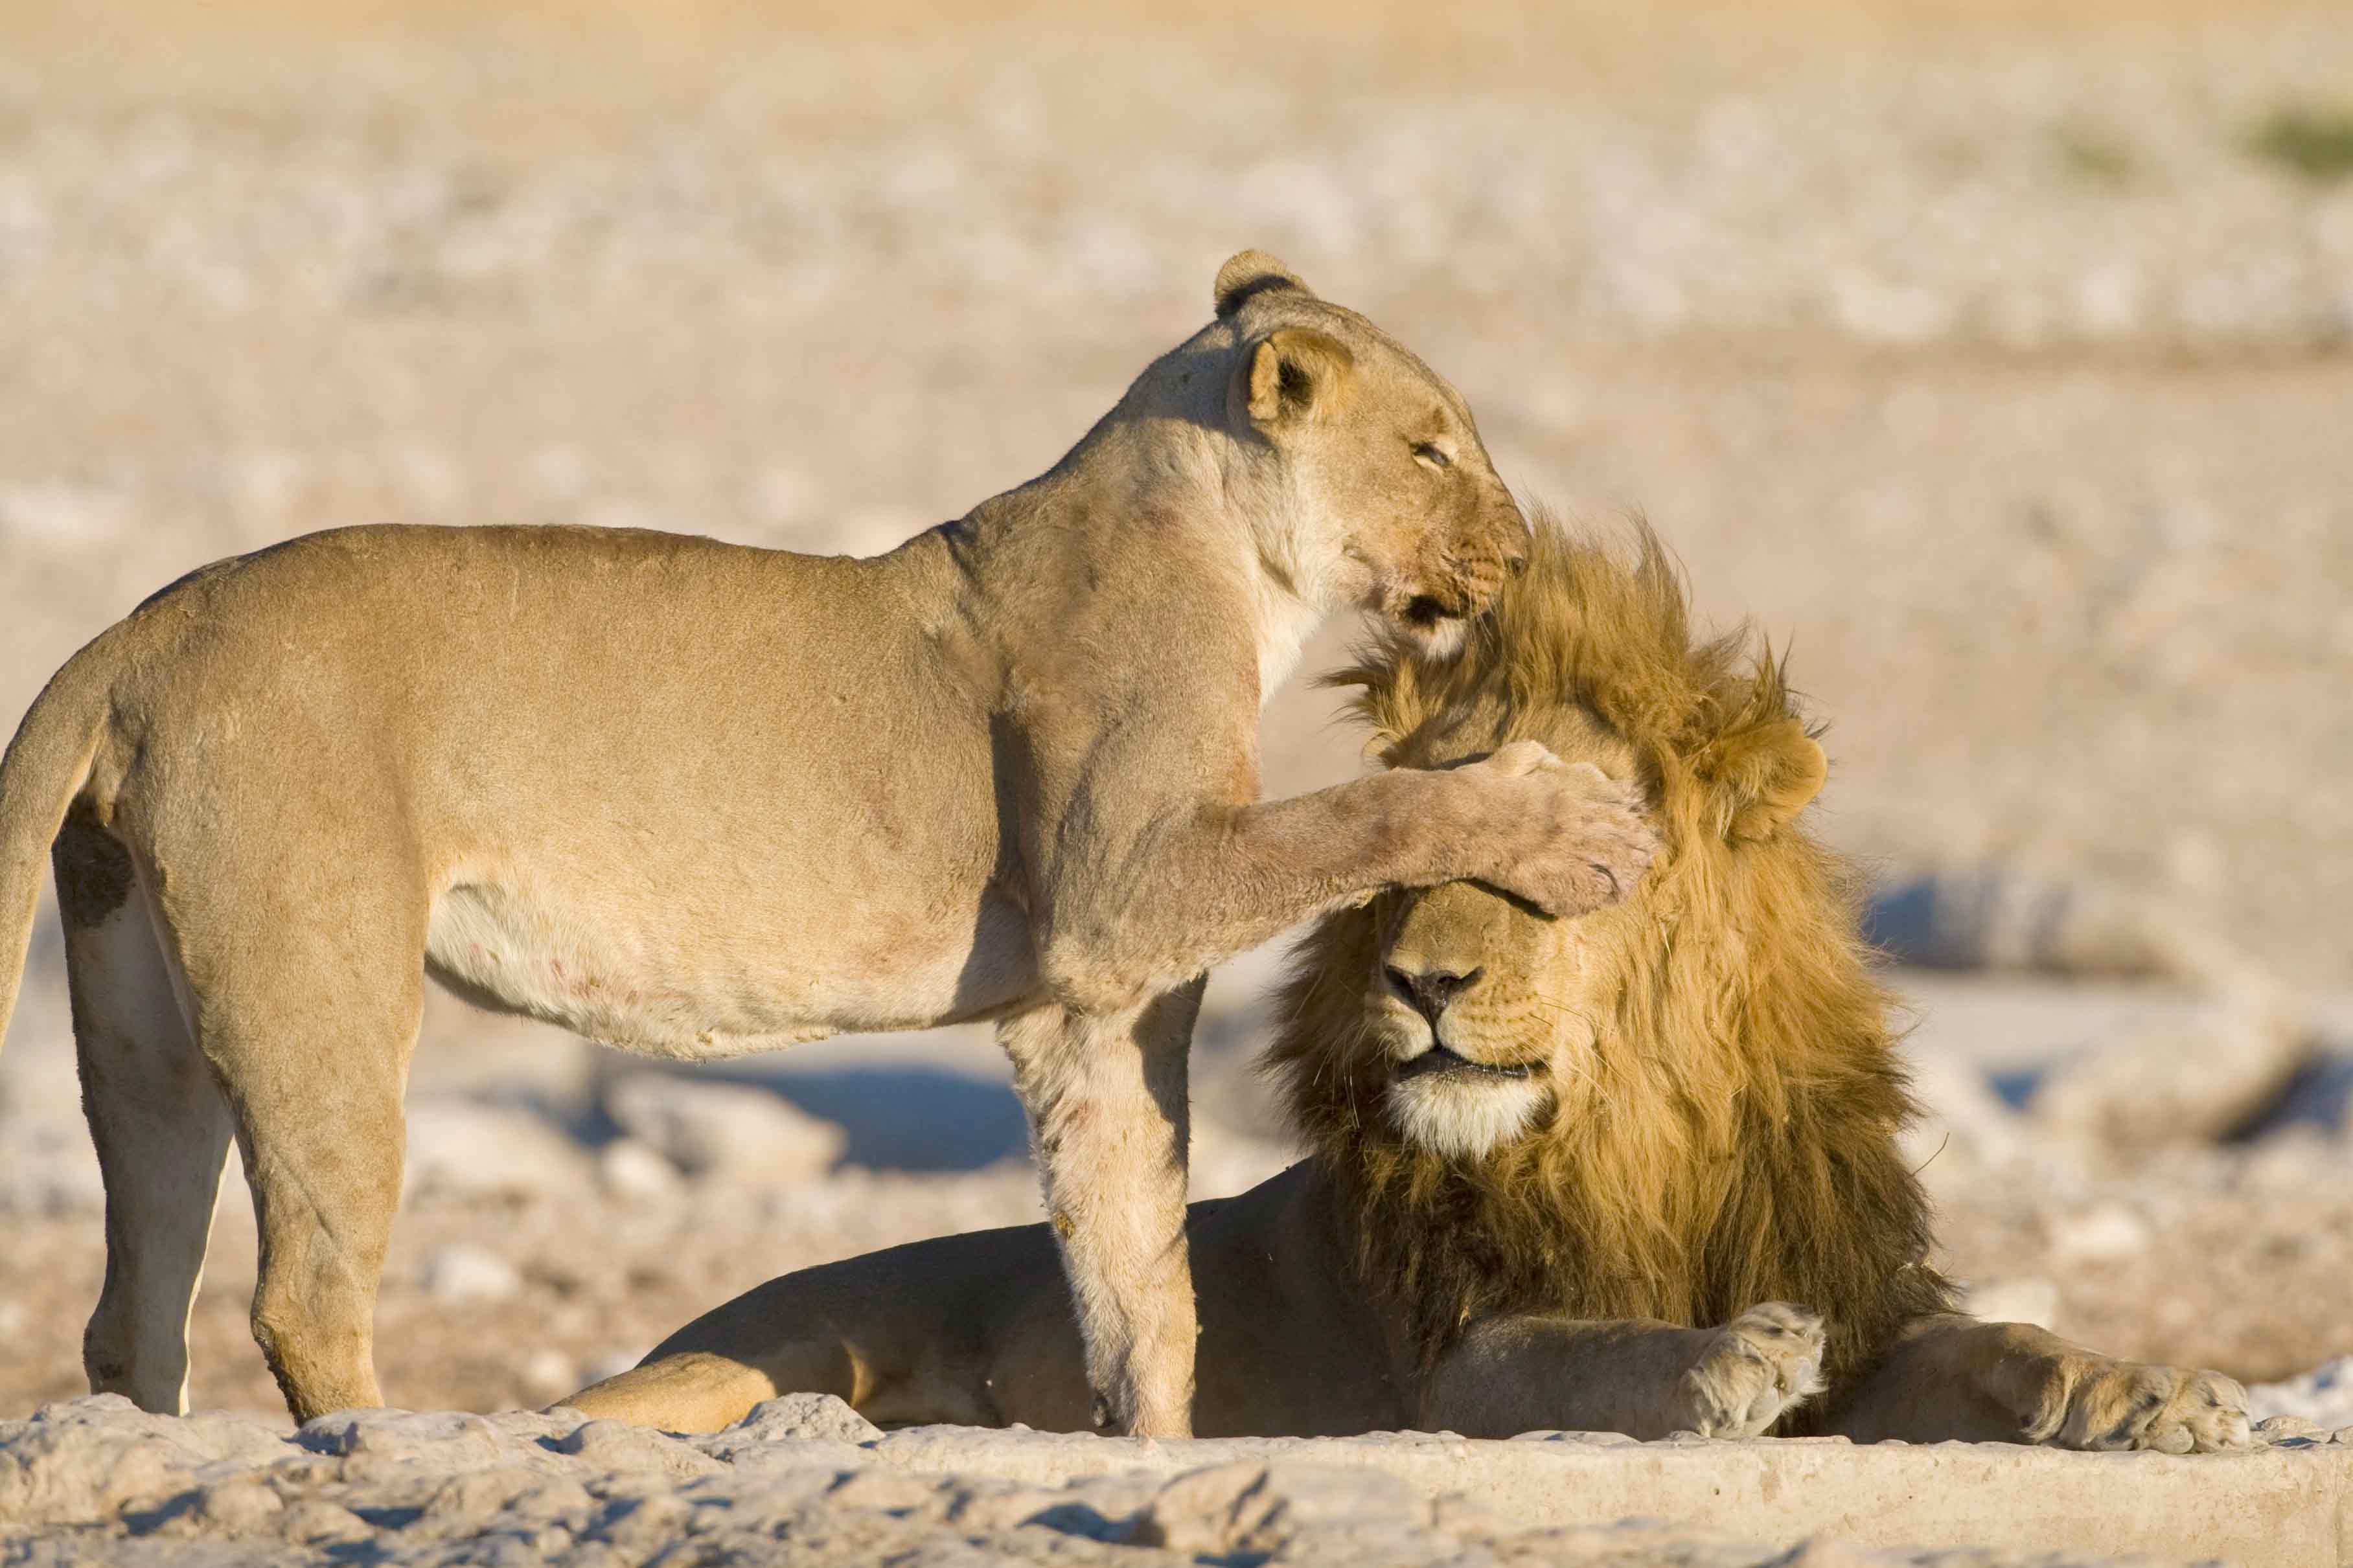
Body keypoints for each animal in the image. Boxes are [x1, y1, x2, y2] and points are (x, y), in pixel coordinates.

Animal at [0, 253, 1657, 1434]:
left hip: (137, 1006)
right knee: (300, 1292)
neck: (1224, 557)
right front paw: (1573, 822)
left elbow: (1136, 1279)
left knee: (135, 1298)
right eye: (1431, 447)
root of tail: (138, 627)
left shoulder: (1093, 1005)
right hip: (322, 979)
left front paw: (1155, 1445)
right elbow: (1367, 810)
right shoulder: (1123, 884)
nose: (1517, 551)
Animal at [562, 518, 2250, 1454]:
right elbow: (1581, 1348)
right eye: (1407, 846)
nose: (1423, 978)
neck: (1631, 1141)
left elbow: (1998, 1338)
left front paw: (2153, 1389)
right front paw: (1726, 1358)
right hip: (742, 1359)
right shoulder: (1444, 1357)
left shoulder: (1865, 1298)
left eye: (1569, 848)